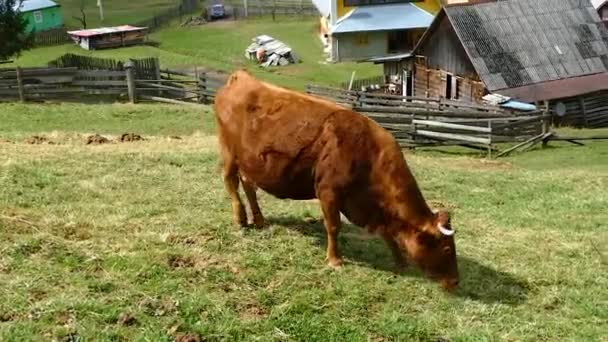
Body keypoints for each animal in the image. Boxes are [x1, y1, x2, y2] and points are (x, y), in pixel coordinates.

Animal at [214, 71, 460, 290]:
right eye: (447, 249)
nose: (456, 281)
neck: (368, 152)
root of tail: (241, 77)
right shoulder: (328, 191)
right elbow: (333, 226)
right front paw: (334, 260)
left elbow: (387, 234)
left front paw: (401, 262)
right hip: (229, 152)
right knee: (230, 182)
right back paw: (240, 218)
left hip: (250, 162)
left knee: (248, 185)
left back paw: (259, 219)